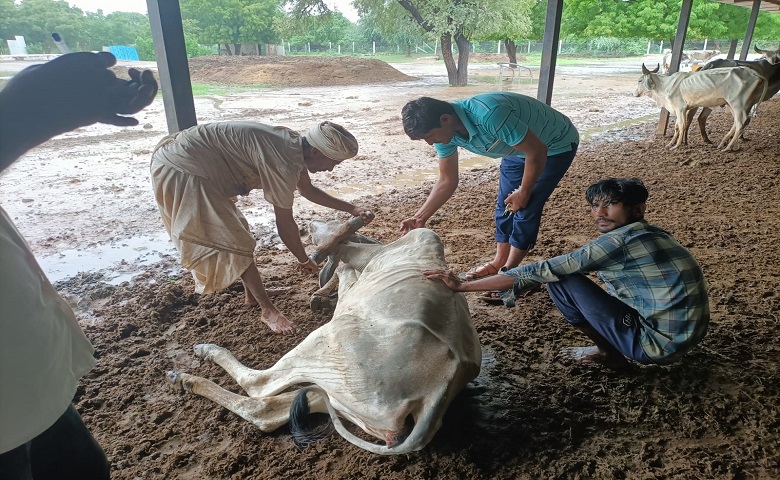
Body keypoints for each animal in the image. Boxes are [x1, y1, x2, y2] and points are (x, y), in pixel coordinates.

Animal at [167, 220, 482, 454]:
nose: (308, 224)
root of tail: (437, 391)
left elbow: (340, 267)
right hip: (336, 395)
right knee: (267, 409)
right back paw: (187, 377)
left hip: (324, 344)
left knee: (258, 388)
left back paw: (199, 359)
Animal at [632, 62, 768, 151]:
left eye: (639, 80)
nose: (634, 93)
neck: (665, 86)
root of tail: (753, 72)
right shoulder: (683, 109)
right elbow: (677, 126)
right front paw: (670, 144)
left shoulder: (680, 108)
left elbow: (681, 125)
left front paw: (676, 145)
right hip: (734, 105)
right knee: (738, 123)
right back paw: (722, 143)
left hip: (738, 104)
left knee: (740, 124)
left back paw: (728, 147)